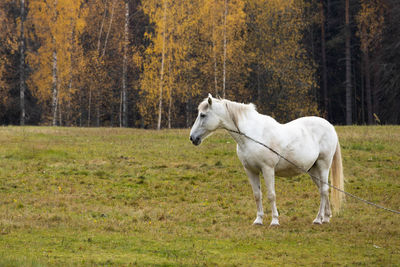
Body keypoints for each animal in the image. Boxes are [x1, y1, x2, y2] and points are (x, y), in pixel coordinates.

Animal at [190, 95, 344, 227]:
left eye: (202, 115)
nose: (192, 138)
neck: (252, 135)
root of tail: (330, 126)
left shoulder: (267, 169)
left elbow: (271, 195)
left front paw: (274, 221)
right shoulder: (250, 170)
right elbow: (257, 195)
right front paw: (258, 220)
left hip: (323, 165)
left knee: (323, 191)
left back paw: (318, 219)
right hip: (313, 170)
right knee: (323, 190)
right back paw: (326, 217)